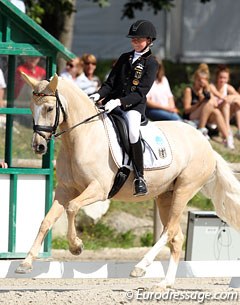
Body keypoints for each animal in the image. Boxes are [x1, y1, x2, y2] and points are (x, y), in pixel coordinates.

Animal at [15, 72, 240, 288]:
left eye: (49, 108)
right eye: (31, 108)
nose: (38, 147)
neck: (81, 137)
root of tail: (208, 146)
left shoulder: (98, 189)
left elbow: (72, 207)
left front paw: (76, 246)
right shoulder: (65, 189)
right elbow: (46, 220)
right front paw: (25, 263)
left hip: (184, 190)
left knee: (168, 231)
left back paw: (140, 267)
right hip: (166, 196)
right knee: (176, 237)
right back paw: (164, 284)